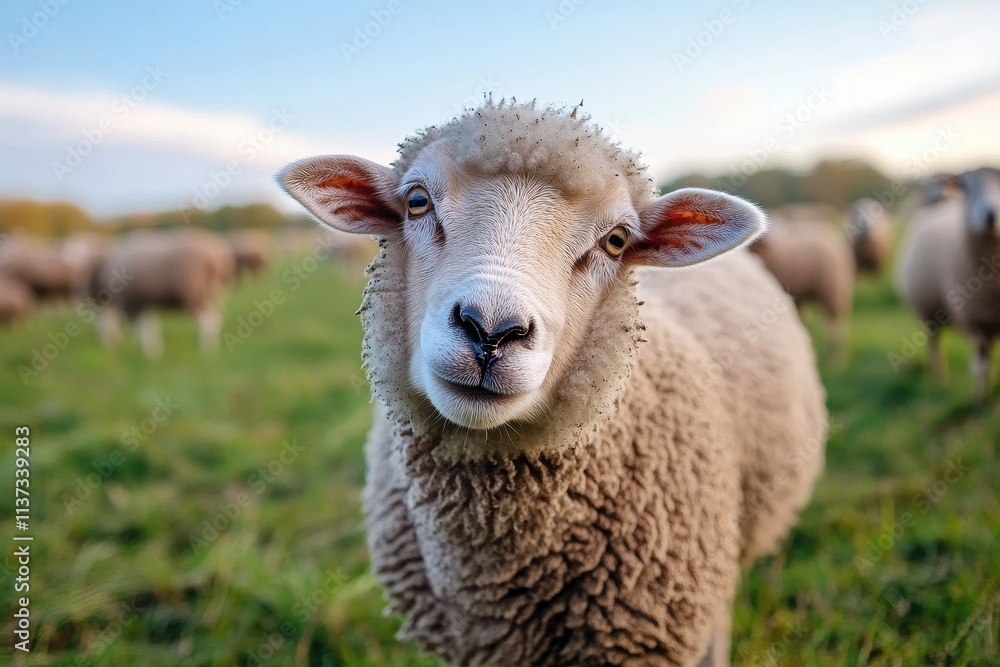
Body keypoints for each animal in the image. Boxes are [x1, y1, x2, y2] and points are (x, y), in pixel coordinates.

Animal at [88, 228, 234, 357]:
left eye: (101, 325)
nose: (107, 347)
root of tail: (211, 260)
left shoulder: (132, 303)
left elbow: (144, 329)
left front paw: (150, 353)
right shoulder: (143, 303)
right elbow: (151, 326)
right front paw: (155, 349)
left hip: (194, 294)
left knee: (208, 320)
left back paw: (206, 349)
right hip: (210, 294)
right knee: (216, 318)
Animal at [895, 167, 1000, 402]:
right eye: (969, 187)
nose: (991, 216)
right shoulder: (975, 319)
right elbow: (981, 364)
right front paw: (981, 400)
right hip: (929, 311)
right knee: (934, 344)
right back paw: (939, 379)